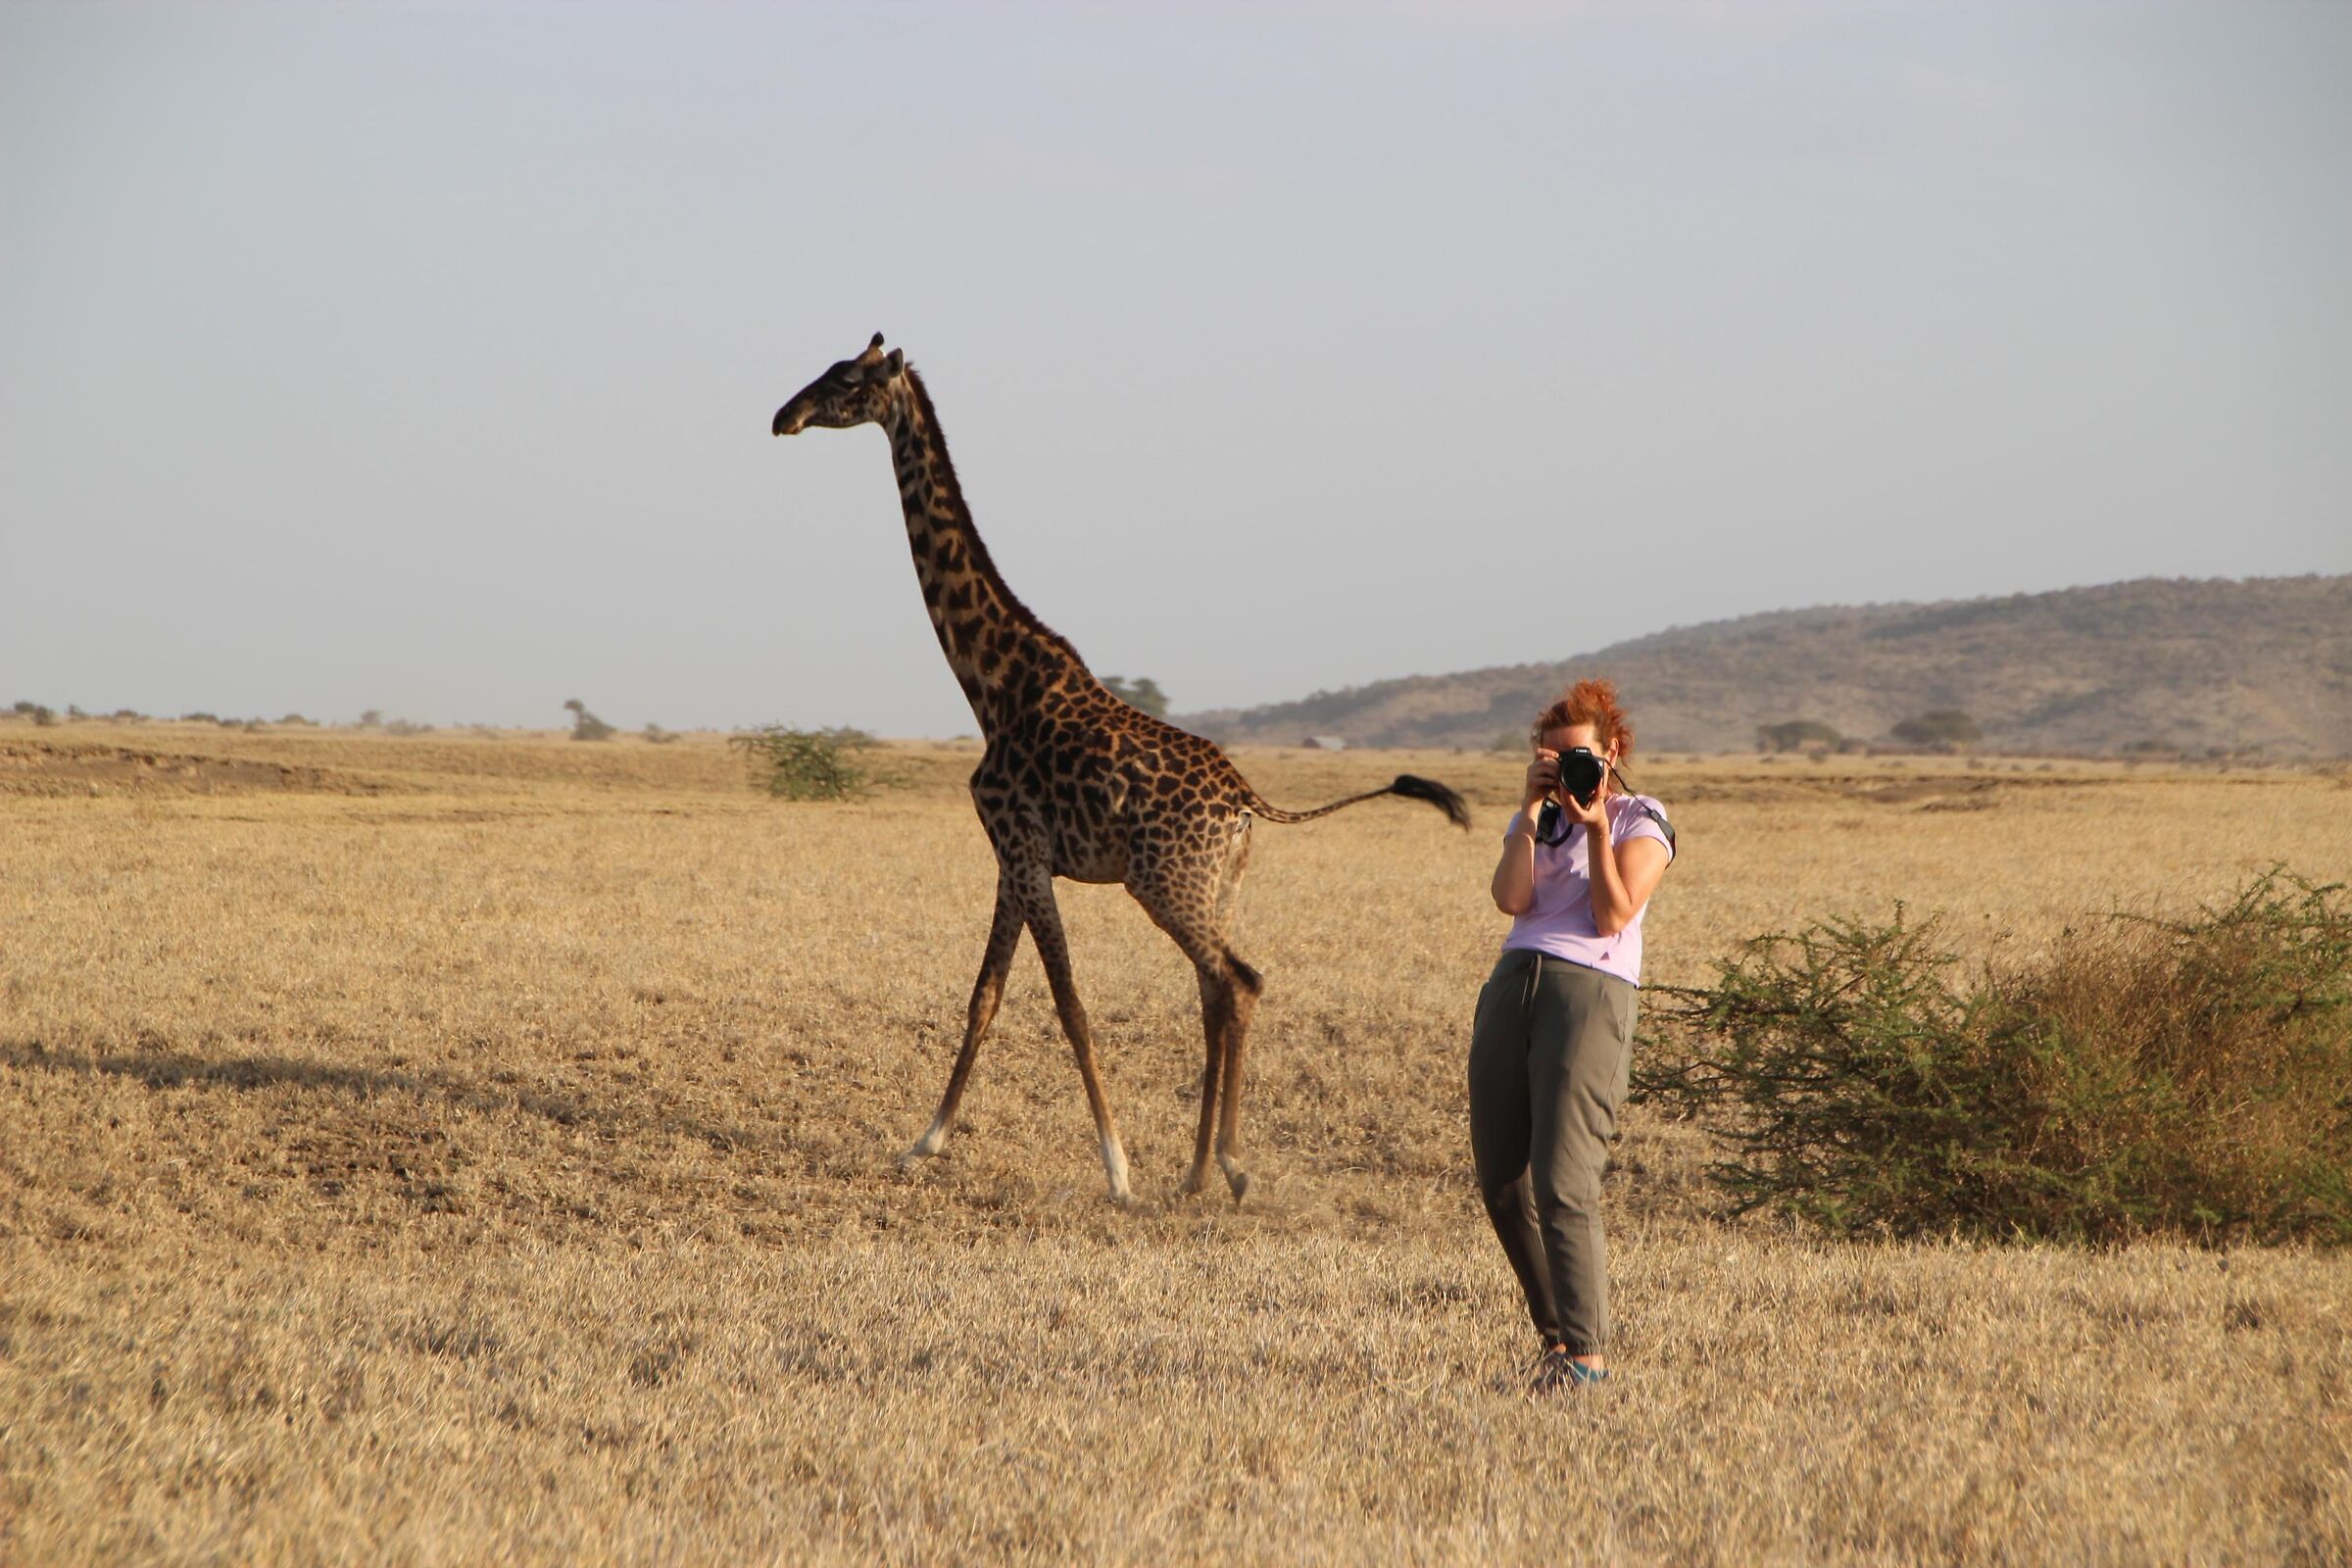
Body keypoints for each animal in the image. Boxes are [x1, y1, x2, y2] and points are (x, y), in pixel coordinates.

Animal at [772, 334, 1469, 1205]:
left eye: (845, 379)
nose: (782, 416)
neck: (991, 685)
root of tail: (1250, 802)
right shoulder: (1015, 856)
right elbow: (984, 996)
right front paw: (922, 1143)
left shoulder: (1022, 849)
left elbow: (1068, 1004)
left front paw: (1117, 1169)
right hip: (1219, 884)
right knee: (1216, 993)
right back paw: (1200, 1171)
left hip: (1165, 882)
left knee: (1240, 981)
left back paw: (1228, 1166)